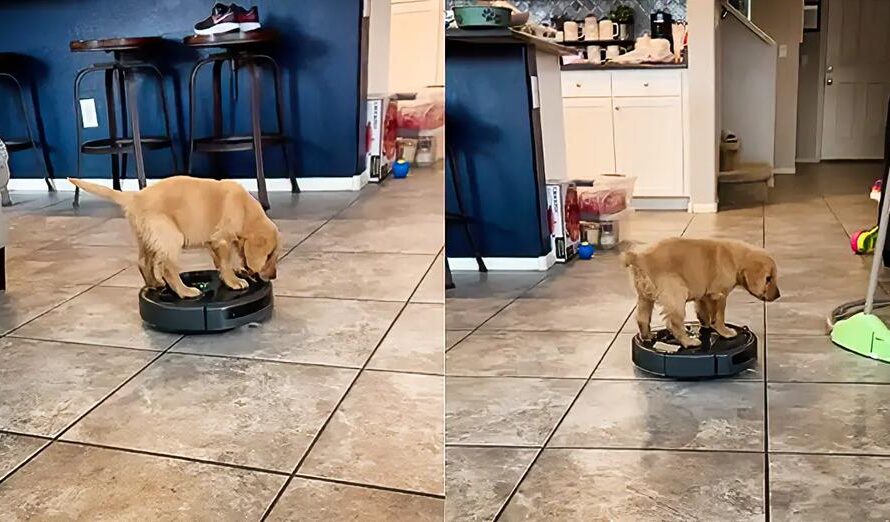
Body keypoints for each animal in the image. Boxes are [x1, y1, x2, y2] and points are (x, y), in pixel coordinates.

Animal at [68, 175, 278, 296]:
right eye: (269, 256)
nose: (274, 277)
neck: (244, 209)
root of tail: (136, 197)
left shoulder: (216, 242)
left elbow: (226, 261)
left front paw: (243, 270)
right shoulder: (221, 240)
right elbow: (225, 264)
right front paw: (235, 281)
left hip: (148, 237)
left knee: (143, 262)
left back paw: (155, 284)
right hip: (170, 236)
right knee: (167, 268)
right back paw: (185, 291)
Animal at [624, 239, 776, 346]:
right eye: (768, 278)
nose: (778, 295)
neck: (734, 259)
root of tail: (639, 257)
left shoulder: (704, 294)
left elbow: (702, 310)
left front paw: (706, 323)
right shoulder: (719, 295)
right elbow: (719, 317)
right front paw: (725, 332)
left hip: (645, 297)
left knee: (642, 318)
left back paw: (647, 336)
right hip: (676, 294)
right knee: (673, 323)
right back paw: (689, 342)